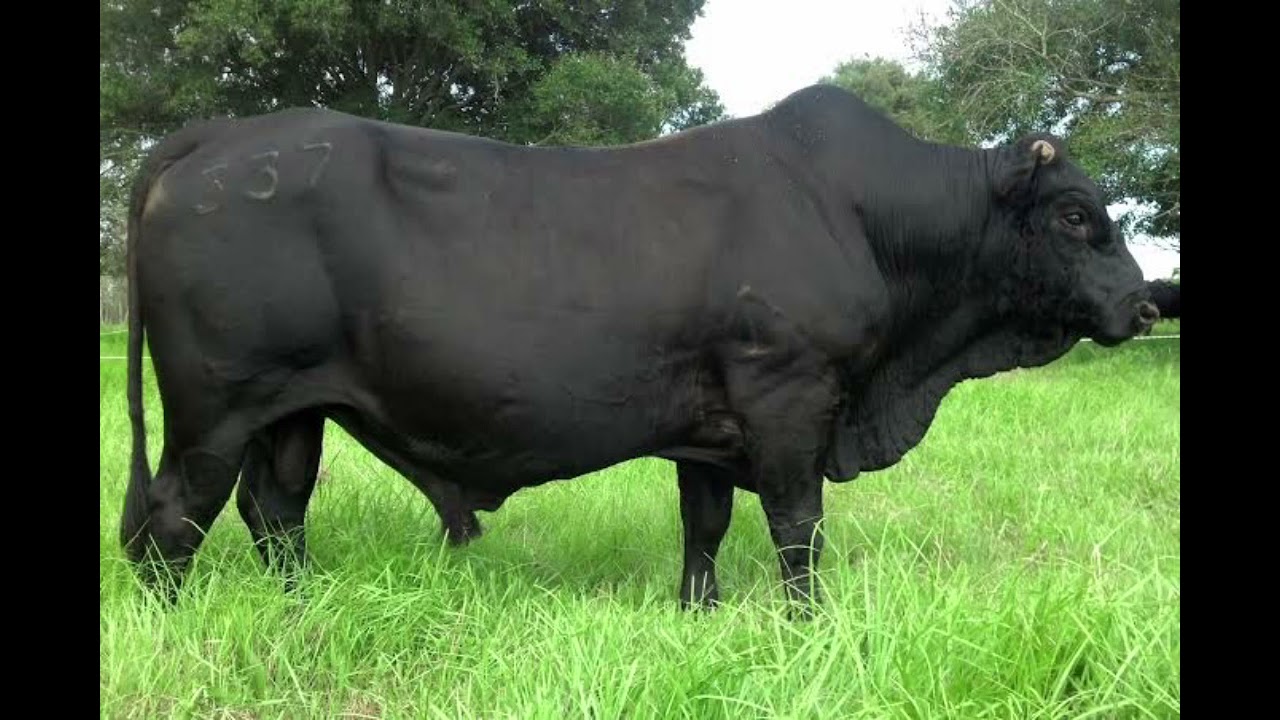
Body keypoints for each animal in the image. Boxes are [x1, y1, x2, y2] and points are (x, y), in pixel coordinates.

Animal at [119, 84, 1158, 611]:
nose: (1146, 305)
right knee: (175, 519)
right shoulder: (790, 396)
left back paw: (302, 607)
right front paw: (806, 623)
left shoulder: (711, 425)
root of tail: (218, 134)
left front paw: (699, 614)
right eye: (1076, 215)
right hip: (214, 406)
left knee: (275, 509)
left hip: (296, 408)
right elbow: (797, 527)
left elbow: (705, 526)